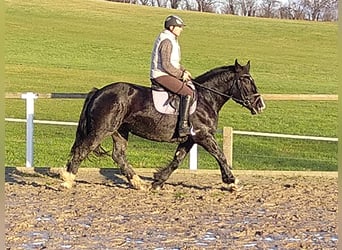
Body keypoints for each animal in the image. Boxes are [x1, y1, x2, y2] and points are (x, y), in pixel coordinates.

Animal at [60, 59, 264, 190]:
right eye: (246, 80)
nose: (260, 105)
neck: (206, 98)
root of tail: (99, 91)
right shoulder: (203, 135)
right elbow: (220, 155)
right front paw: (232, 181)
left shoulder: (189, 138)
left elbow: (177, 159)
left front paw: (157, 181)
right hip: (103, 129)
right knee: (83, 150)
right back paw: (67, 180)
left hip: (120, 131)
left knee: (118, 155)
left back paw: (138, 183)